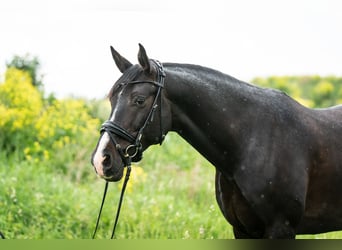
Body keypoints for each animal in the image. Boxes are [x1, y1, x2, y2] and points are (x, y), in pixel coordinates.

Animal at [91, 44, 342, 239]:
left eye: (139, 100)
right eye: (111, 98)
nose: (101, 160)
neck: (251, 143)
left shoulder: (281, 228)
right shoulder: (242, 230)